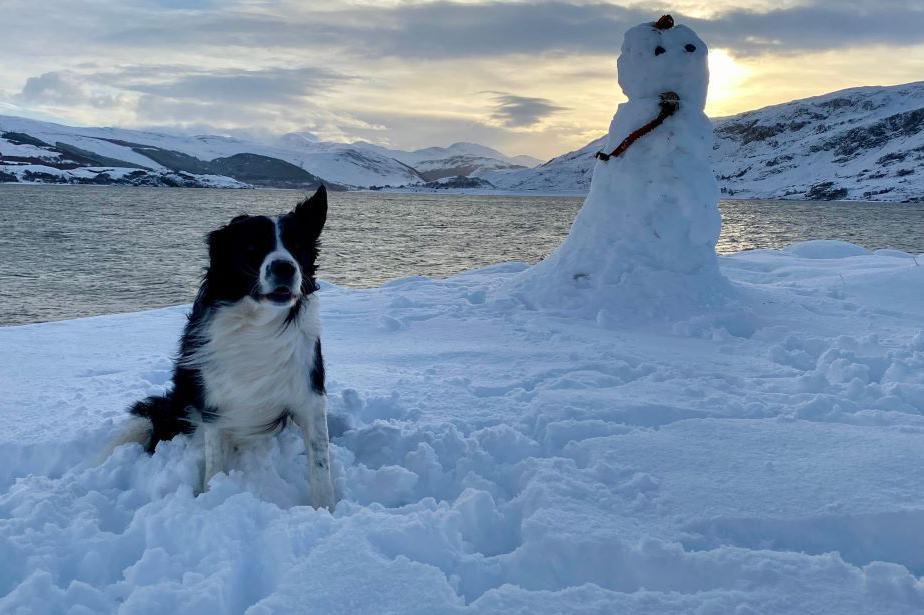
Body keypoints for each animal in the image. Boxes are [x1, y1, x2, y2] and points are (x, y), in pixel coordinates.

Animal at [119, 186, 336, 510]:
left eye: (297, 246)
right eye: (252, 247)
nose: (285, 267)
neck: (258, 325)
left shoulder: (309, 394)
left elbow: (320, 463)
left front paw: (326, 510)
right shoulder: (214, 402)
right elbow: (214, 462)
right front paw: (211, 496)